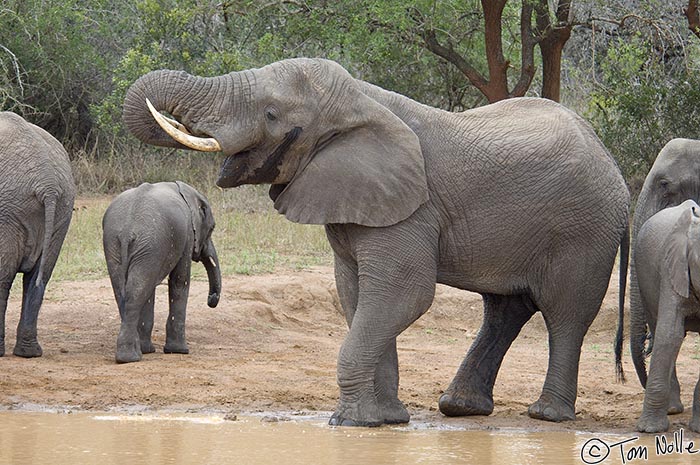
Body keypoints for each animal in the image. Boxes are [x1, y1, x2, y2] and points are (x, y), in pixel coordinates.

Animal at [0, 110, 76, 358]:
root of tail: (48, 183)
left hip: (9, 209)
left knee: (3, 279)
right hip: (63, 208)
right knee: (38, 277)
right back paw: (29, 352)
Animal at [101, 180, 220, 362]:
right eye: (212, 228)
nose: (211, 299)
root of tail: (128, 229)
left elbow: (151, 290)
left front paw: (150, 350)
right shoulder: (186, 234)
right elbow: (180, 281)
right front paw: (179, 351)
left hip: (118, 244)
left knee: (127, 291)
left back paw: (132, 354)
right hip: (148, 243)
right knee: (136, 292)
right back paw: (131, 357)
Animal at [123, 57, 632, 424]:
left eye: (271, 114)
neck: (361, 99)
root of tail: (611, 162)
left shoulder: (412, 207)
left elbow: (402, 295)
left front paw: (348, 422)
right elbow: (357, 297)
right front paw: (384, 420)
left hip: (584, 230)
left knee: (566, 314)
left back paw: (547, 416)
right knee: (504, 309)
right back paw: (460, 408)